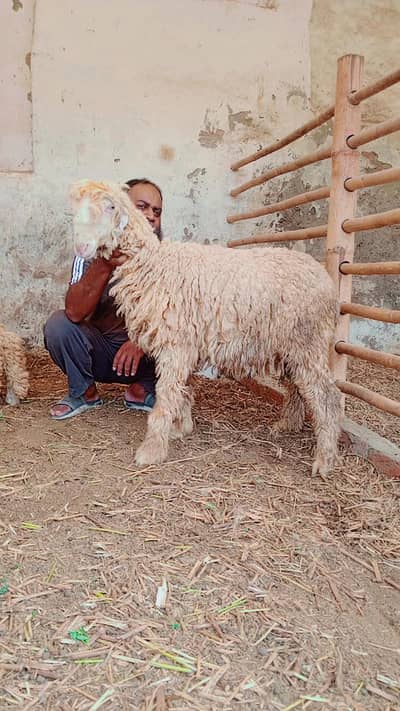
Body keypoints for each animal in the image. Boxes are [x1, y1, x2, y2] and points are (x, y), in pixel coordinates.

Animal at [70, 179, 342, 476]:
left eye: (110, 207)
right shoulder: (186, 344)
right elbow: (182, 390)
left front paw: (152, 449)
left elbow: (166, 396)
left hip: (309, 340)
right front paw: (181, 428)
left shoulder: (175, 344)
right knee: (297, 387)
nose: (81, 247)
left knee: (327, 397)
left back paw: (324, 460)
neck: (154, 265)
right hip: (292, 345)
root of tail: (326, 279)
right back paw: (287, 426)